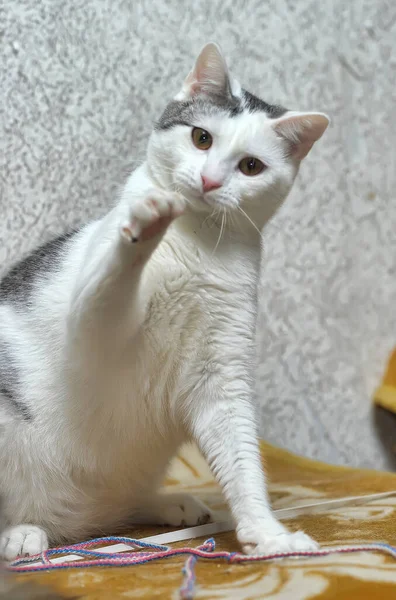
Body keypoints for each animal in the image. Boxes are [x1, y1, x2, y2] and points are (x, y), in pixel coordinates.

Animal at [0, 43, 328, 564]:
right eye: (201, 138)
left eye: (251, 166)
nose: (210, 181)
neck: (197, 245)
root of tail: (70, 523)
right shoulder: (92, 323)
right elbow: (112, 277)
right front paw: (146, 222)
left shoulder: (220, 376)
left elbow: (242, 461)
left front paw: (267, 534)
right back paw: (23, 533)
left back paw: (166, 503)